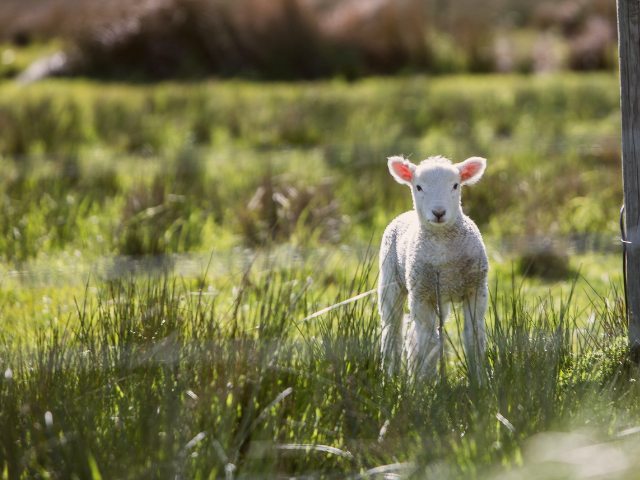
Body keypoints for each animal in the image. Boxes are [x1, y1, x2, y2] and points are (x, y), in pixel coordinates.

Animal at [378, 155, 489, 381]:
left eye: (455, 185)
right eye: (418, 187)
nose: (438, 212)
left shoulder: (476, 288)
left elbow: (473, 336)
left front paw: (480, 381)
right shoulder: (421, 295)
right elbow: (429, 342)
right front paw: (428, 384)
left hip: (439, 297)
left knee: (414, 333)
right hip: (390, 280)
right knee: (393, 331)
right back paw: (390, 377)